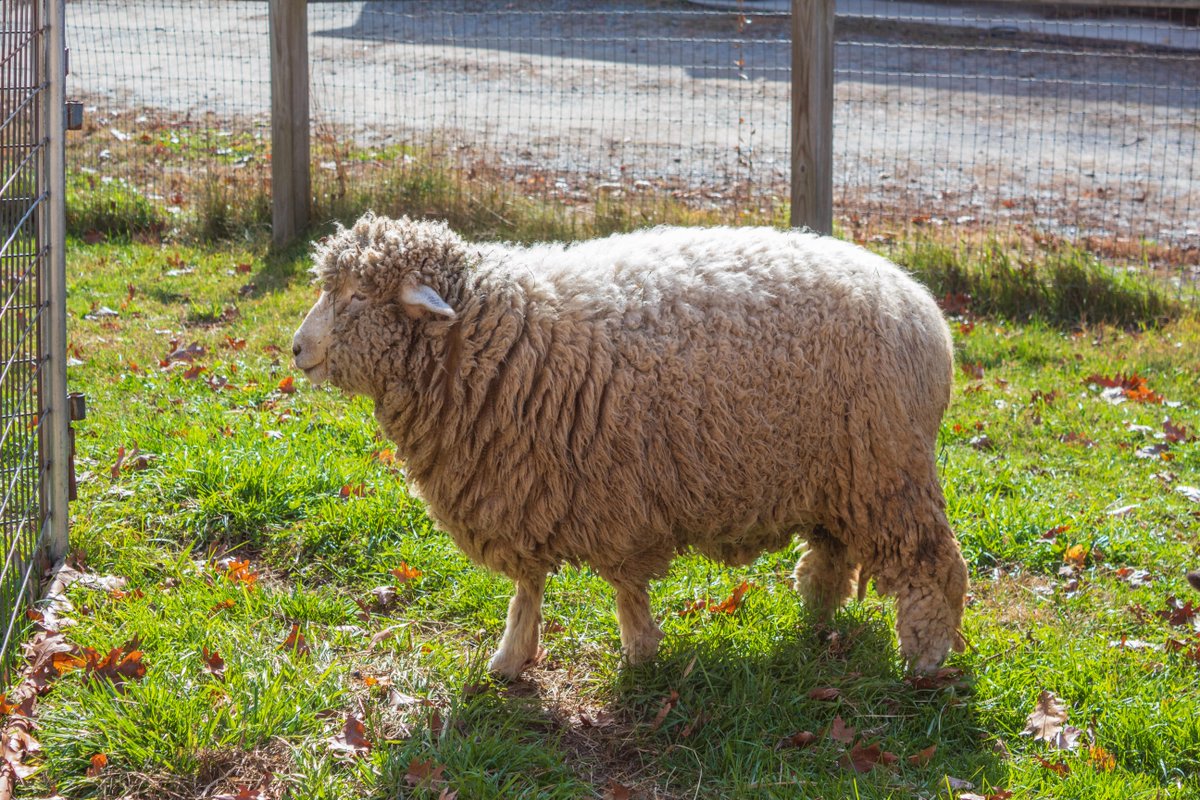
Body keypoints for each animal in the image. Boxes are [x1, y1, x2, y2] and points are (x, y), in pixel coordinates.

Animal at [291, 214, 968, 678]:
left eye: (357, 296)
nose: (297, 349)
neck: (496, 330)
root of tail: (924, 310)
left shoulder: (612, 495)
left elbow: (624, 585)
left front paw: (639, 653)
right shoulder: (525, 487)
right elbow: (529, 587)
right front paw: (512, 659)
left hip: (889, 467)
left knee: (935, 562)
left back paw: (925, 658)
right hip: (838, 472)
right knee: (832, 550)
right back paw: (815, 615)